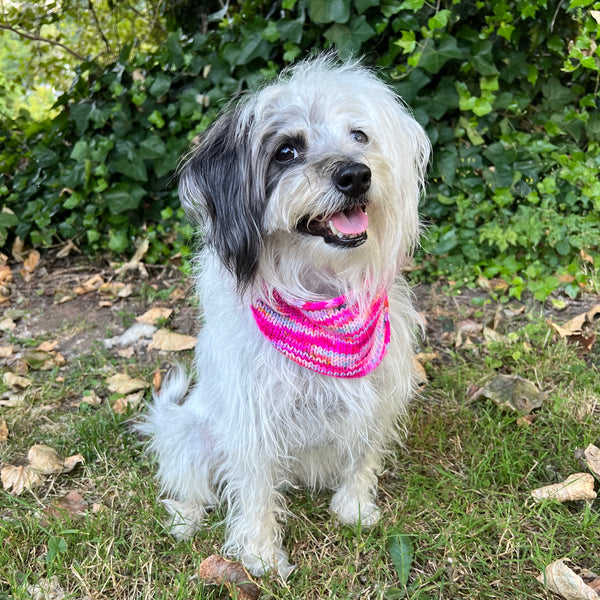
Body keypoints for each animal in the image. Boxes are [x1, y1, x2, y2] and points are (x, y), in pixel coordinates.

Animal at [139, 55, 432, 576]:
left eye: (359, 134)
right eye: (287, 150)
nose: (356, 175)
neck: (320, 294)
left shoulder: (375, 399)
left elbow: (363, 457)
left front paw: (355, 507)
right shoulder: (253, 416)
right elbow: (255, 489)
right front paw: (259, 555)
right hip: (190, 434)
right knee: (188, 482)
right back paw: (185, 519)